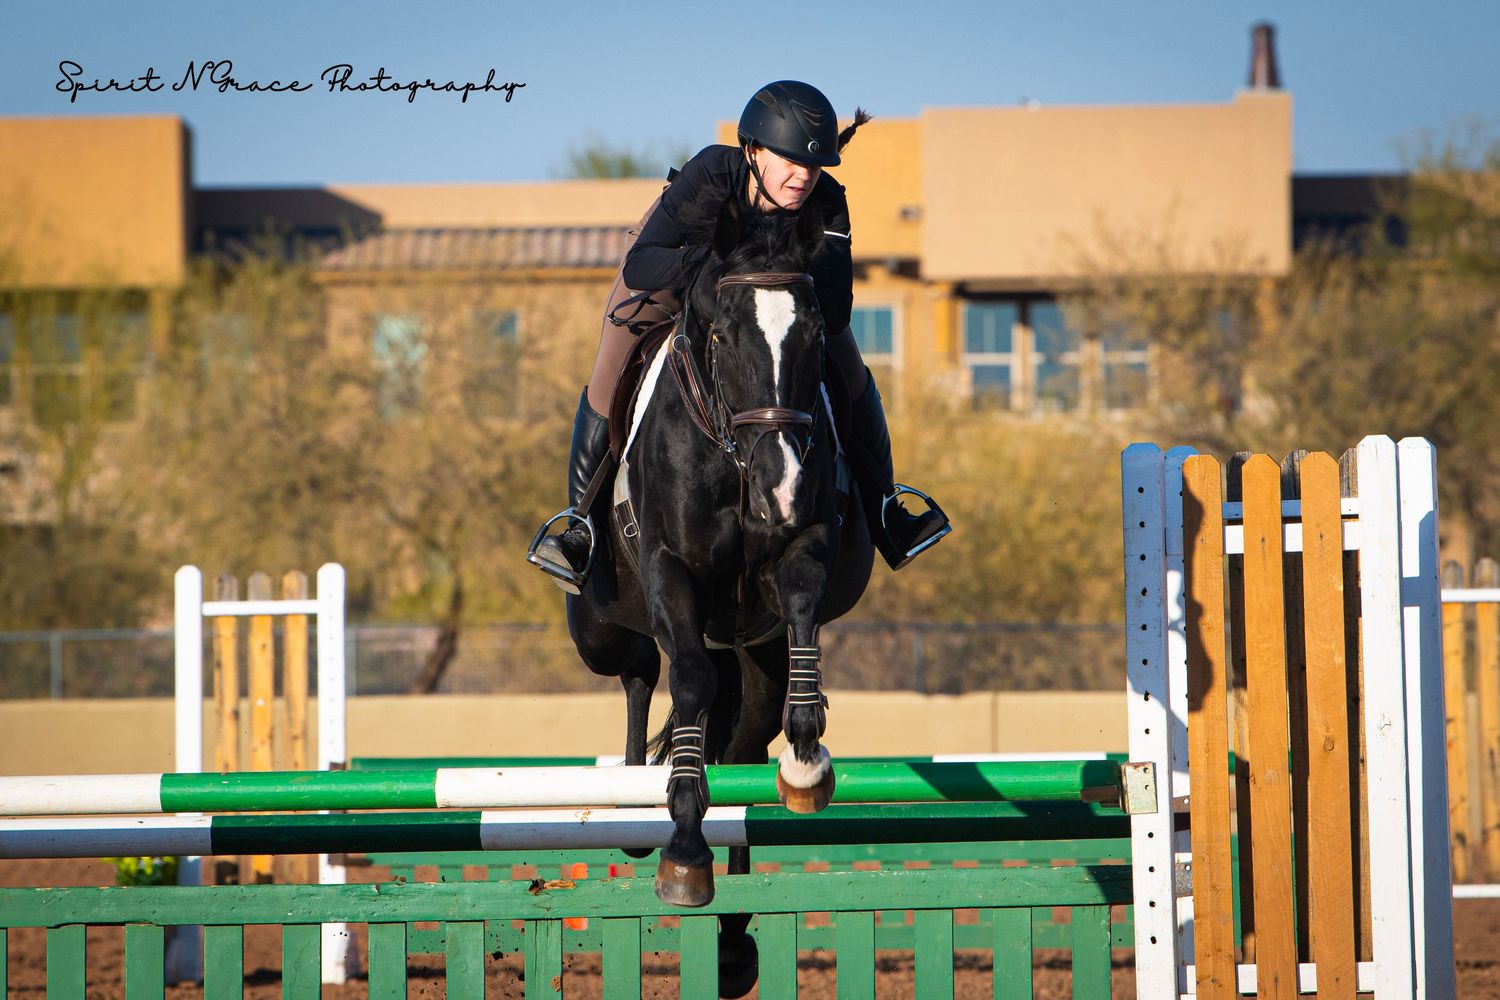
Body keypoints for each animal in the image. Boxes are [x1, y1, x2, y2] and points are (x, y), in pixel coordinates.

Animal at [562, 192, 874, 995]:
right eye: (726, 336)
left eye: (814, 336)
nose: (779, 486)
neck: (734, 454)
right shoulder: (671, 569)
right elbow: (689, 681)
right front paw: (679, 849)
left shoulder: (804, 544)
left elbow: (801, 626)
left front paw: (806, 763)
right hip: (600, 624)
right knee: (645, 672)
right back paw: (636, 811)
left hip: (748, 653)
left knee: (738, 743)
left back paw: (733, 944)